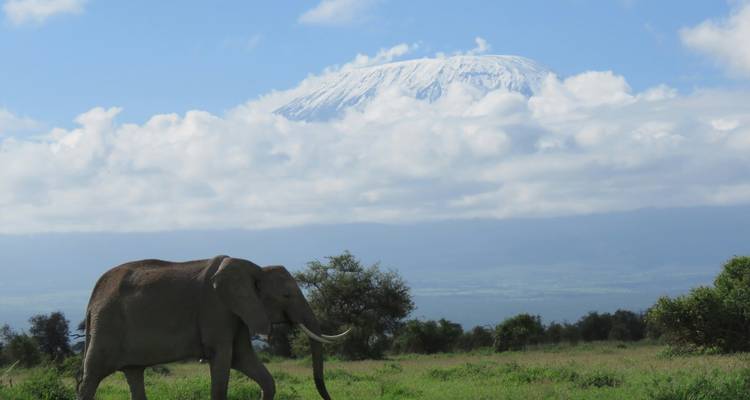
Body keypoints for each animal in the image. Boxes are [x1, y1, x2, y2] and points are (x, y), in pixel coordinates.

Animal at [77, 255, 349, 400]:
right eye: (286, 296)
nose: (329, 397)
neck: (255, 270)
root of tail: (92, 299)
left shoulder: (237, 314)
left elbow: (247, 362)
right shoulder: (217, 309)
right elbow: (222, 359)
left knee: (134, 373)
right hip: (107, 325)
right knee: (91, 377)